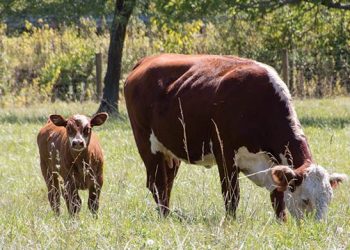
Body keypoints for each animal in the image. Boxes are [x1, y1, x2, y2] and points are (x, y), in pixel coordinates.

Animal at [123, 53, 348, 221]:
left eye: (329, 199)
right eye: (305, 200)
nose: (316, 229)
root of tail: (146, 61)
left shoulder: (272, 166)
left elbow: (278, 198)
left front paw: (282, 223)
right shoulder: (225, 153)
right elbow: (231, 195)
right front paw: (230, 223)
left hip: (170, 150)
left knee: (167, 182)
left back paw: (168, 214)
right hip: (146, 144)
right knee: (157, 183)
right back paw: (163, 218)